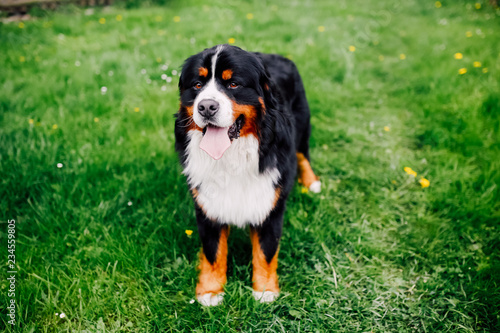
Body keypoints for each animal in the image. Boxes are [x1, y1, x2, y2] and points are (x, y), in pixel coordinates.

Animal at [174, 44, 320, 306]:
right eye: (197, 85)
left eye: (233, 84)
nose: (206, 106)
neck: (231, 157)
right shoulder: (207, 203)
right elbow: (213, 251)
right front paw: (211, 291)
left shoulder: (270, 200)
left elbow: (266, 250)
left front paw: (265, 290)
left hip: (303, 124)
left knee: (303, 154)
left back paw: (312, 183)